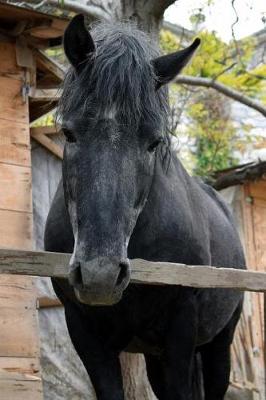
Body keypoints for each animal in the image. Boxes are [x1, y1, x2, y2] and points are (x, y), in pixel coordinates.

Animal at [45, 15, 245, 400]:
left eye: (154, 142)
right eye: (68, 133)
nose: (100, 275)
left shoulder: (181, 332)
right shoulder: (85, 333)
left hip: (219, 346)